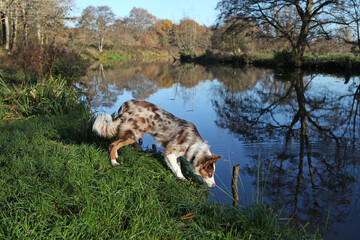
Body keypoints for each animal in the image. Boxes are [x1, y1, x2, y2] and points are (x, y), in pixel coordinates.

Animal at [92, 99, 222, 188]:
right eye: (209, 173)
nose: (214, 185)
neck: (194, 145)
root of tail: (126, 104)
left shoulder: (174, 154)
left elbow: (176, 166)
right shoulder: (169, 152)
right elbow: (178, 169)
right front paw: (182, 179)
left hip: (128, 132)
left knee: (114, 143)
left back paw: (116, 156)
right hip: (134, 134)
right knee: (113, 145)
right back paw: (114, 162)